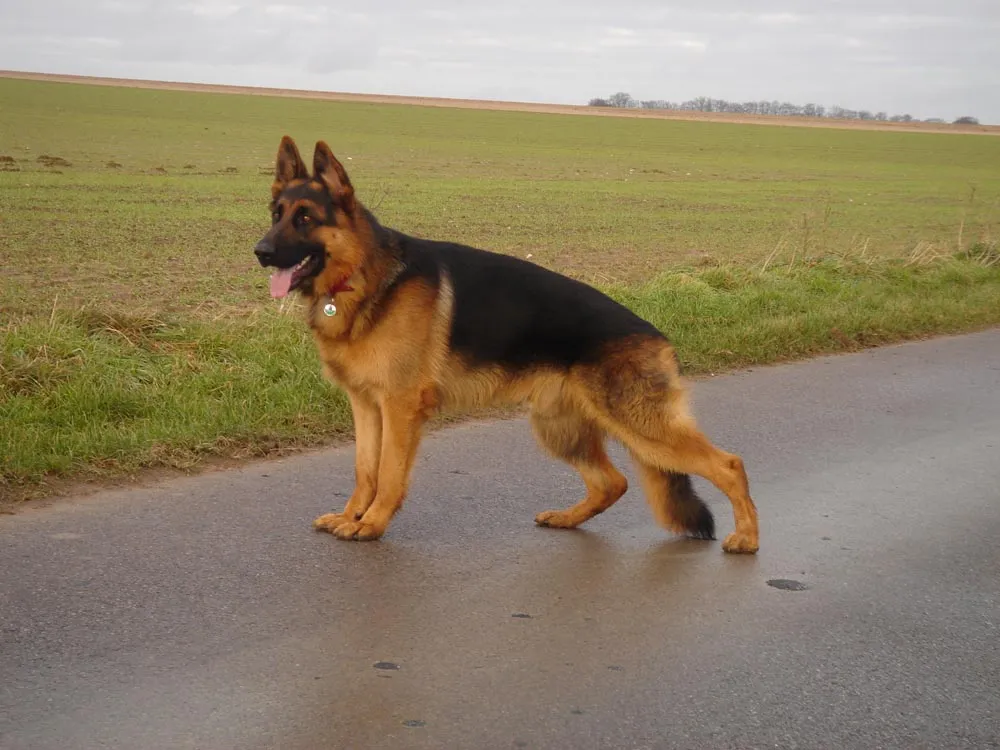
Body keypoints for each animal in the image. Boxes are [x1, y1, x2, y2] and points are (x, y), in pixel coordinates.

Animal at [252, 138, 756, 556]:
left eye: (306, 218)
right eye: (276, 213)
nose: (260, 252)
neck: (362, 277)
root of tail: (658, 336)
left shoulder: (399, 408)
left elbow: (390, 474)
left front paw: (371, 524)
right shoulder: (366, 405)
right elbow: (365, 469)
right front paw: (350, 515)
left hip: (641, 426)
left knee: (729, 464)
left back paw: (747, 538)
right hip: (559, 428)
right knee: (612, 482)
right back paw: (567, 519)